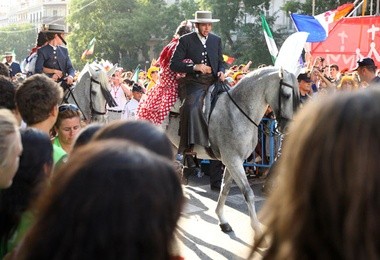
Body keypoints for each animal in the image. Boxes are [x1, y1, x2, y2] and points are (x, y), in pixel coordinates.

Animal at [166, 66, 300, 242]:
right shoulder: (233, 160)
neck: (237, 112)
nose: (289, 128)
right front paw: (257, 230)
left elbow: (225, 188)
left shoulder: (233, 161)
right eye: (286, 95)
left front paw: (223, 221)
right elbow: (248, 193)